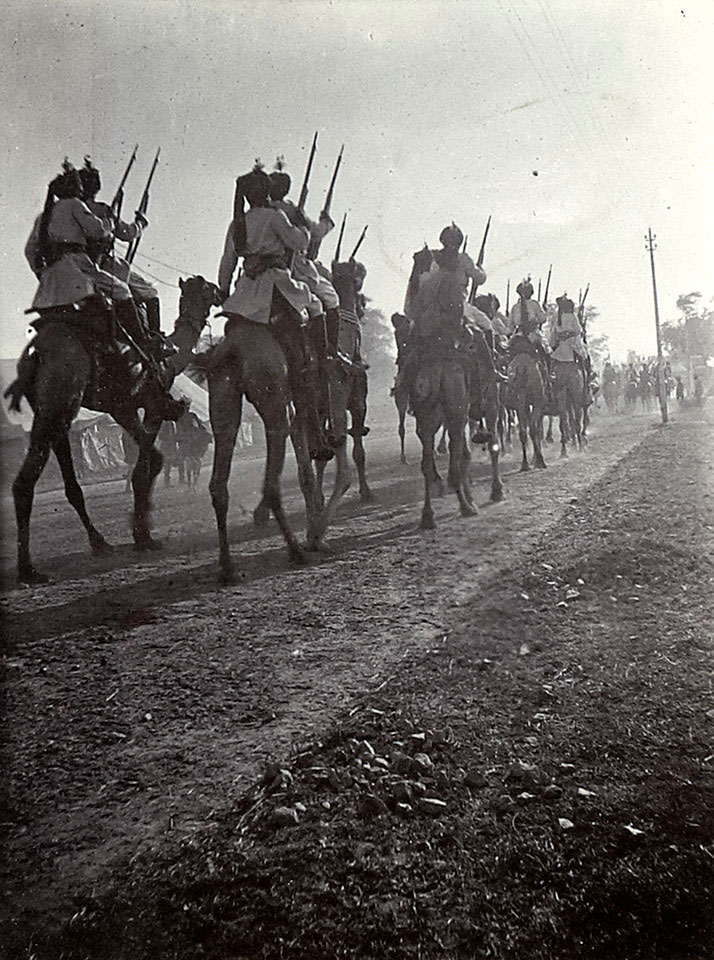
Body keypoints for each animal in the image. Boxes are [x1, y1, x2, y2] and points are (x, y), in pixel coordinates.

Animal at [4, 274, 220, 580]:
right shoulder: (153, 402)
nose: (220, 290)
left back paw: (99, 543)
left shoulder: (122, 407)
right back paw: (28, 570)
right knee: (25, 481)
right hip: (60, 401)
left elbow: (149, 460)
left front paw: (141, 528)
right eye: (205, 287)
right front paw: (143, 534)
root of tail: (36, 354)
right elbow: (148, 464)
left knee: (68, 481)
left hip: (53, 413)